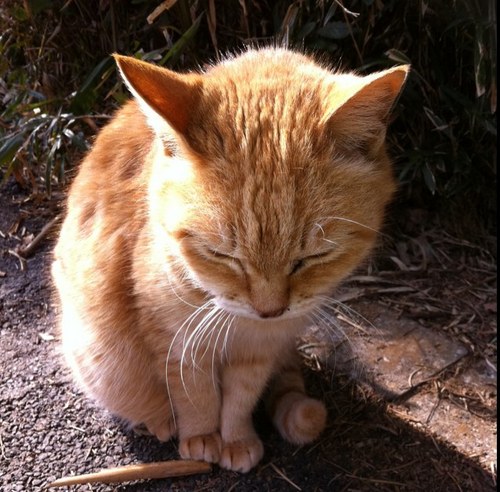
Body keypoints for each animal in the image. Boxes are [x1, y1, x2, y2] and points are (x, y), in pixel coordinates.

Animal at [52, 47, 408, 472]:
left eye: (313, 257)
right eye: (221, 255)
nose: (270, 311)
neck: (240, 322)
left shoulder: (259, 352)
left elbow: (240, 398)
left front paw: (236, 438)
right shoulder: (177, 342)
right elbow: (197, 396)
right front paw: (202, 436)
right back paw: (157, 421)